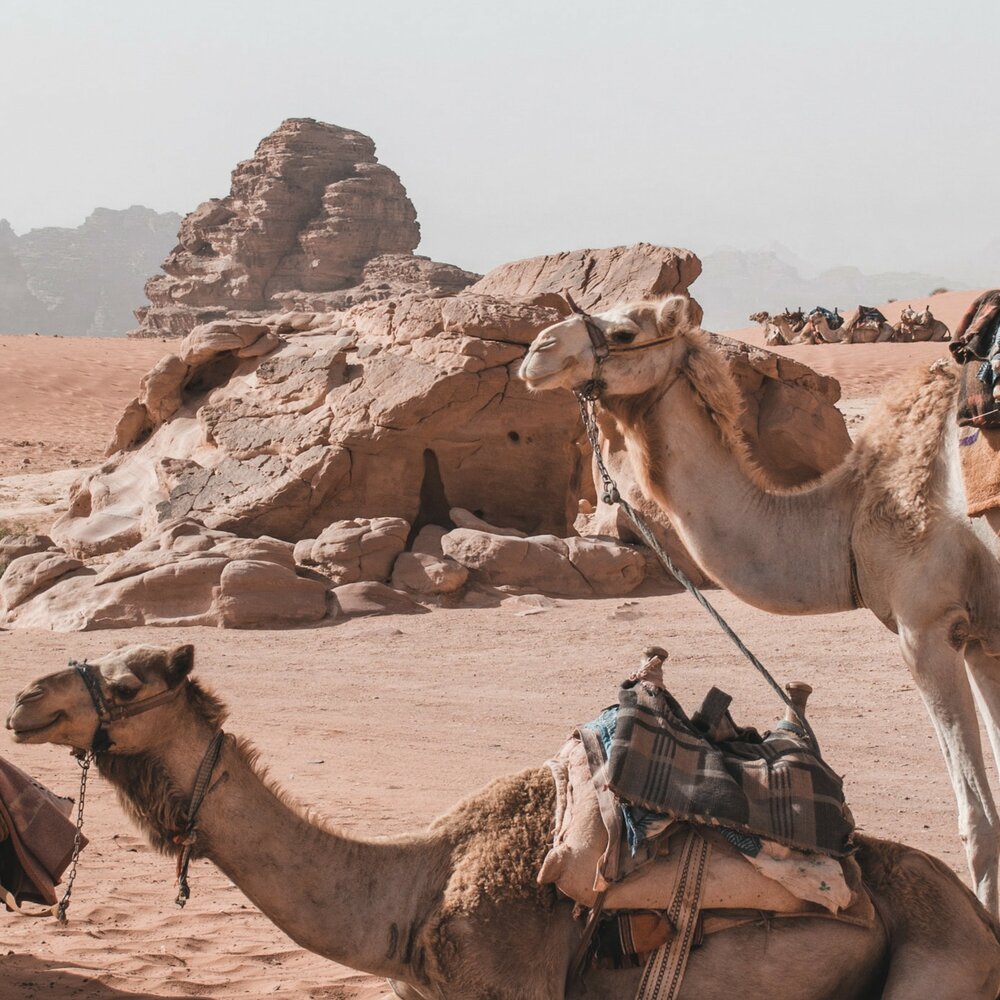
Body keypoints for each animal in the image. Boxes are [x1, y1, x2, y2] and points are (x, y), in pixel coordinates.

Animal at [520, 294, 1000, 916]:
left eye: (624, 332)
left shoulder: (926, 626)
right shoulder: (983, 636)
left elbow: (978, 822)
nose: (538, 350)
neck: (849, 520)